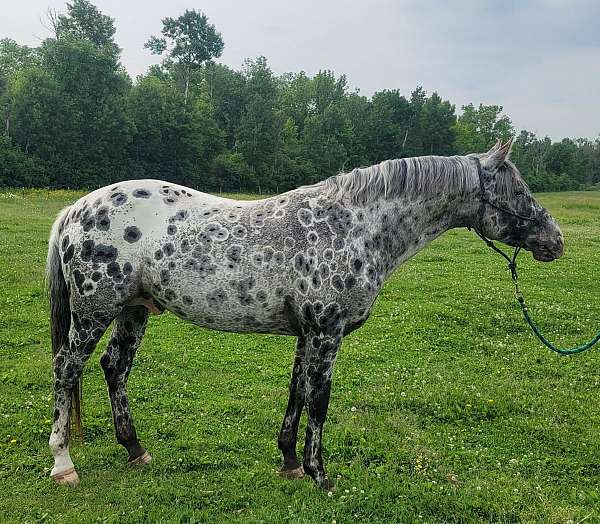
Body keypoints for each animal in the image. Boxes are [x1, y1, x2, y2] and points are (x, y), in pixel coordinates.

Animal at [45, 139, 564, 488]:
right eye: (520, 192)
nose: (555, 241)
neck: (354, 226)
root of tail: (75, 209)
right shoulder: (326, 334)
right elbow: (320, 401)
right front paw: (320, 474)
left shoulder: (306, 335)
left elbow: (296, 392)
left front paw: (291, 462)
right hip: (93, 313)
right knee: (66, 371)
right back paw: (63, 463)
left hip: (133, 311)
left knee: (115, 367)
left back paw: (135, 449)